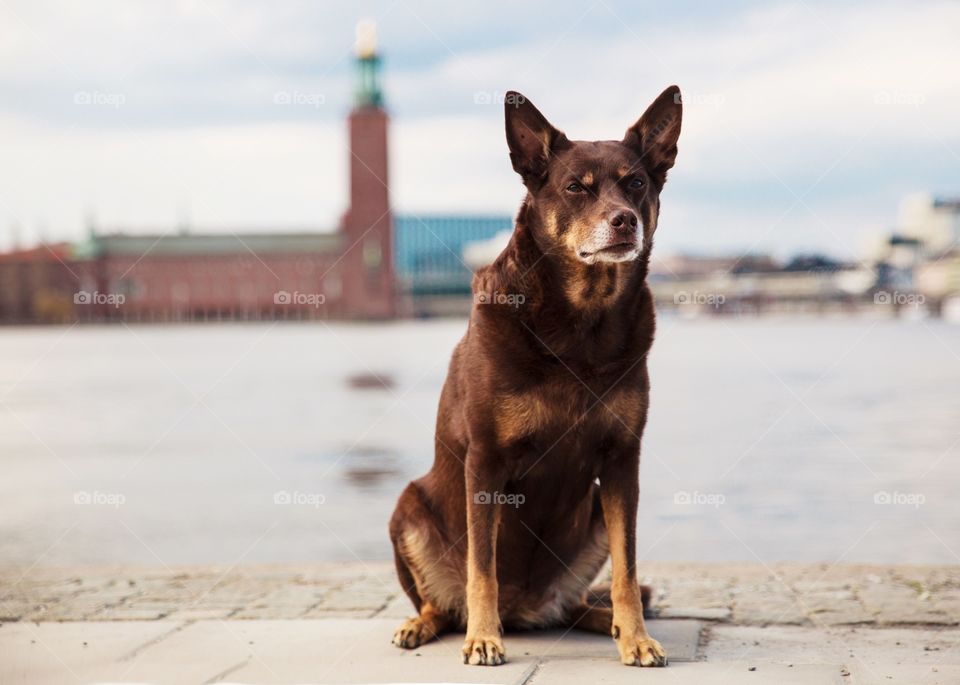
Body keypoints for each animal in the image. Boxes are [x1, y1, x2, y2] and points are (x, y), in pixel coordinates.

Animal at [386, 83, 680, 664]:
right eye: (575, 187)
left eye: (636, 183)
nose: (624, 220)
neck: (581, 321)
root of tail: (526, 613)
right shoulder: (485, 461)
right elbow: (482, 567)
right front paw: (483, 638)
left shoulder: (621, 461)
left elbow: (628, 567)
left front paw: (636, 637)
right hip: (407, 509)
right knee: (438, 603)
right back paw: (424, 625)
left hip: (592, 517)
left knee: (581, 604)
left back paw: (607, 621)